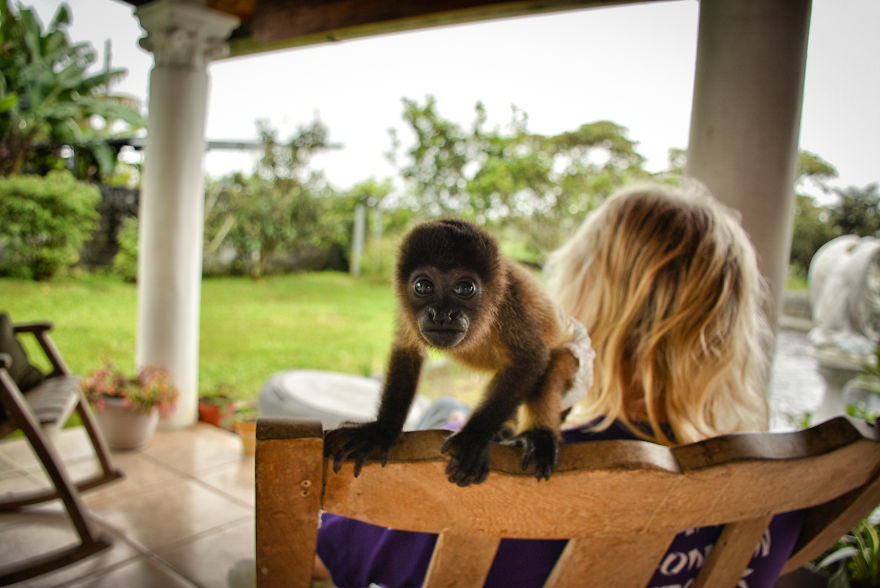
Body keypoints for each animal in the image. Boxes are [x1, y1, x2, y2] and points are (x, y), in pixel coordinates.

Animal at [324, 219, 592, 486]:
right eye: (422, 286)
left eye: (465, 288)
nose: (442, 314)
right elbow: (408, 350)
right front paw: (382, 430)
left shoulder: (512, 303)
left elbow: (531, 359)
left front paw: (473, 438)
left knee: (557, 361)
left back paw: (538, 436)